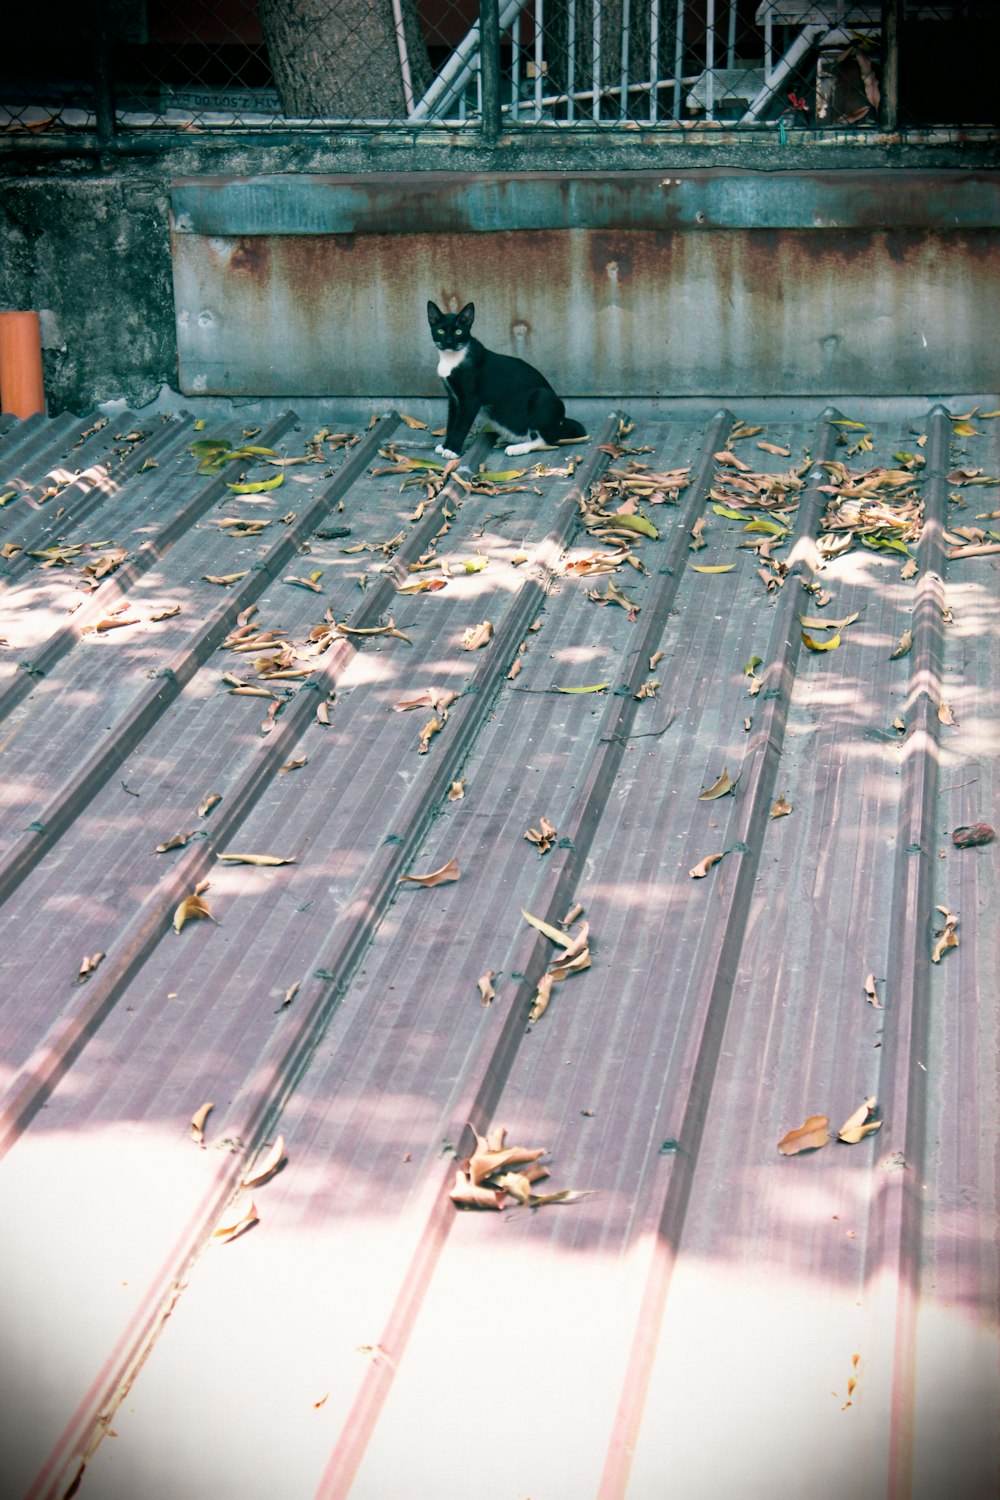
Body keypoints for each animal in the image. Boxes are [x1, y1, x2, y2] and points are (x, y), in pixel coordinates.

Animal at [428, 303, 587, 462]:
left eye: (459, 331)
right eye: (440, 331)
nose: (449, 342)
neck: (452, 359)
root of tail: (561, 421)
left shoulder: (470, 400)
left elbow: (461, 426)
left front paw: (452, 450)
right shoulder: (454, 399)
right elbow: (451, 423)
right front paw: (446, 446)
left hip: (543, 397)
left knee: (547, 439)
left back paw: (518, 448)